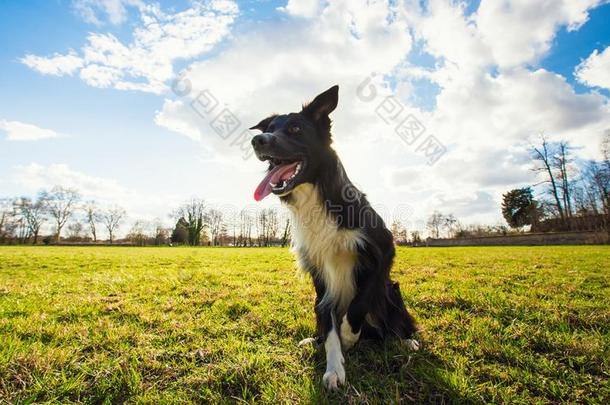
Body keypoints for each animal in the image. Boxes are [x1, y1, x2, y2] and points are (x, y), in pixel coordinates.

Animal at [249, 85, 416, 388]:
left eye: (295, 128)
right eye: (270, 128)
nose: (257, 140)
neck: (317, 195)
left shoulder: (383, 249)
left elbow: (359, 302)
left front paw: (350, 335)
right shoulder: (319, 272)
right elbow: (329, 326)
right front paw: (334, 367)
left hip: (392, 291)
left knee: (391, 324)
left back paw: (404, 341)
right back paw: (312, 341)